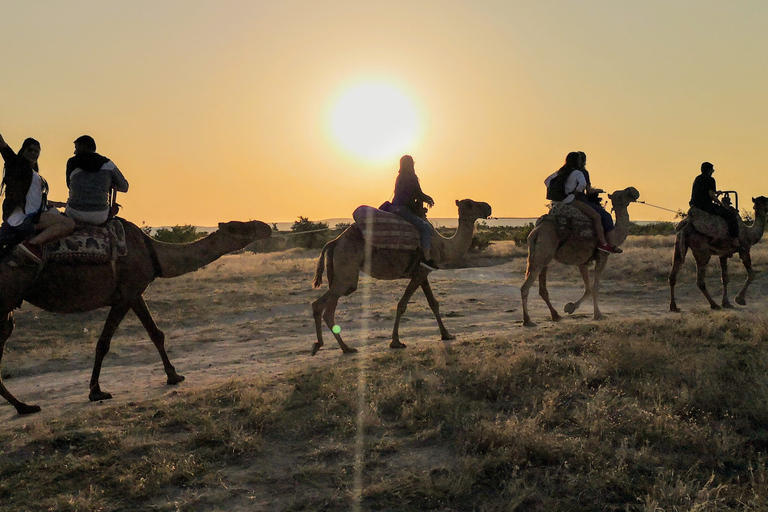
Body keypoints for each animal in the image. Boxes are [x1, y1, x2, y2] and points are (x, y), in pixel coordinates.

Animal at [0, 218, 272, 414]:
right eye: (239, 227)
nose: (266, 227)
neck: (152, 252)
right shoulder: (126, 294)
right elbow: (104, 343)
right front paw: (96, 391)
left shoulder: (135, 292)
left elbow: (155, 333)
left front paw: (173, 376)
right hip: (6, 299)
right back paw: (24, 406)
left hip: (8, 309)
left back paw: (23, 406)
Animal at [310, 199, 492, 356]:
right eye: (470, 203)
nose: (488, 207)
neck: (443, 246)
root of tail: (334, 242)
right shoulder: (421, 271)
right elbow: (402, 305)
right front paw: (396, 342)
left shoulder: (422, 272)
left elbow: (433, 303)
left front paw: (447, 334)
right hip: (347, 271)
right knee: (320, 303)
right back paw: (320, 345)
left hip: (339, 273)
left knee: (330, 308)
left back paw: (345, 348)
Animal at [520, 186, 640, 326]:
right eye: (620, 196)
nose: (633, 191)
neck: (613, 235)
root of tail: (536, 231)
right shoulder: (602, 256)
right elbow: (595, 287)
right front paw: (598, 315)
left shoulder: (582, 262)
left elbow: (588, 289)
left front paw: (570, 307)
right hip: (543, 252)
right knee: (525, 286)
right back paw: (528, 320)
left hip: (540, 255)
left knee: (542, 288)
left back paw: (555, 315)